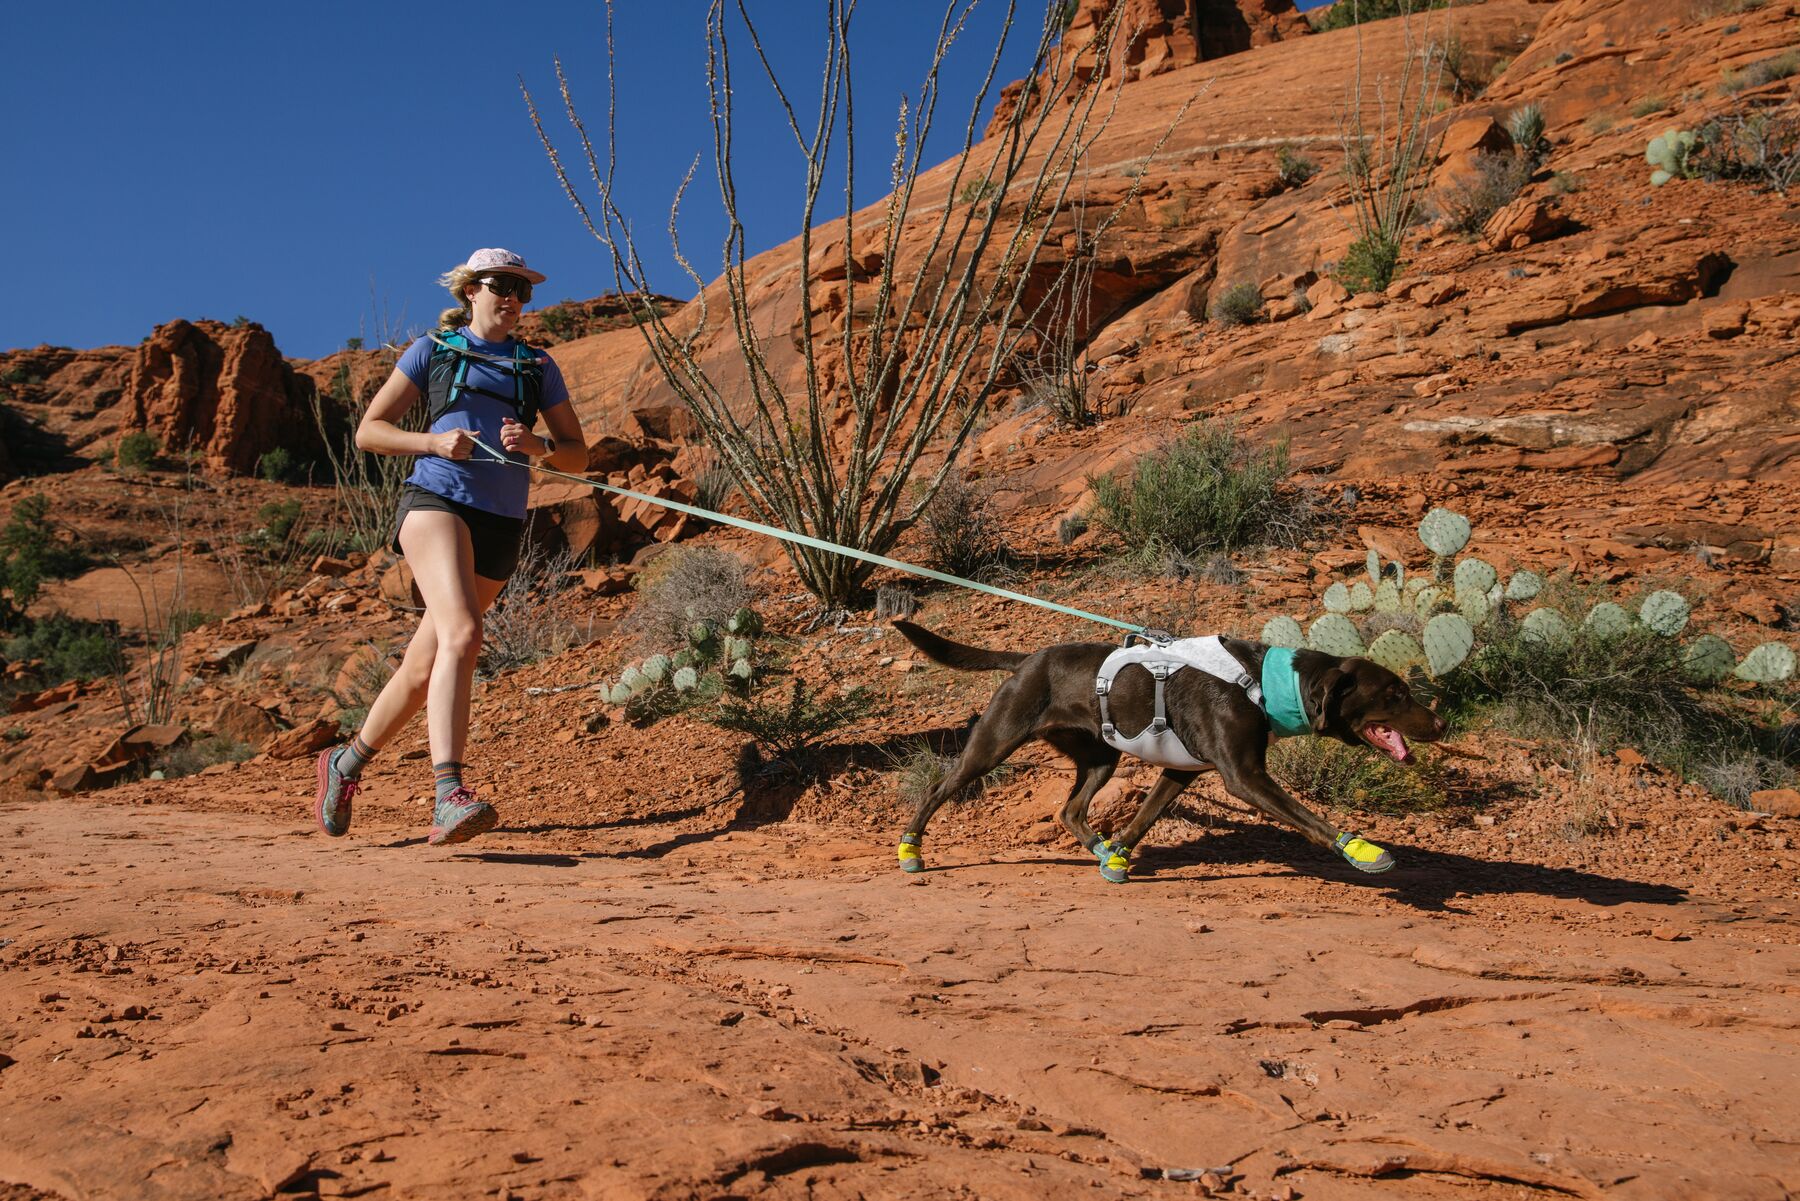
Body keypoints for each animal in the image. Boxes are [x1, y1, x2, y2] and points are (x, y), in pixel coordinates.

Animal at [896, 619, 1447, 882]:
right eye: (1396, 693)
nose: (1442, 723)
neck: (1267, 685)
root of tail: (1027, 659)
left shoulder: (1183, 771)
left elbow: (1142, 820)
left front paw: (1117, 858)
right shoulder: (1243, 776)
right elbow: (1309, 818)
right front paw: (1360, 850)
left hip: (1101, 756)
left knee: (1071, 810)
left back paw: (1098, 846)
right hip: (994, 743)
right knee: (938, 788)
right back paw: (911, 849)